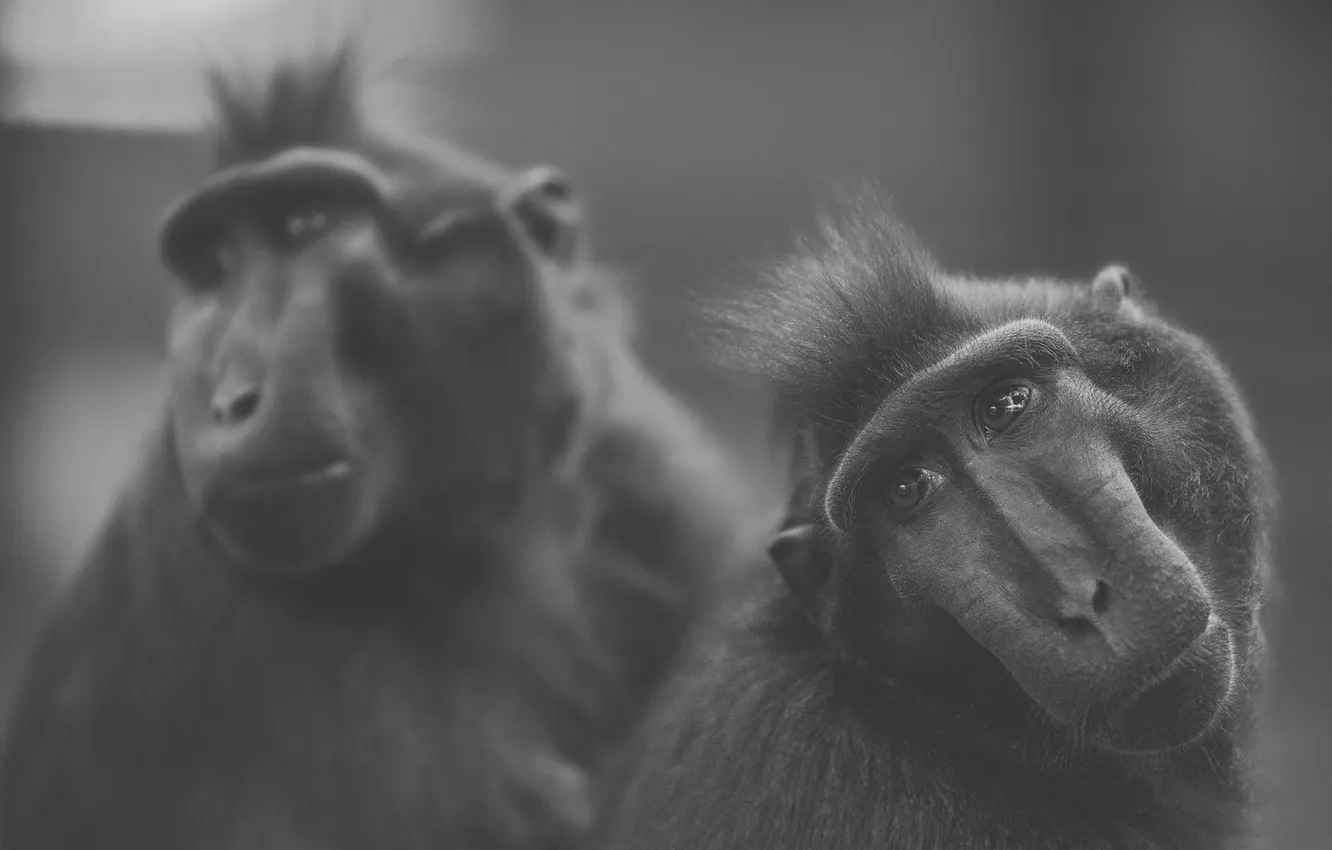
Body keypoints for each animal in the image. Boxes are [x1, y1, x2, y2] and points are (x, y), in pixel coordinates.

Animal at [0, 46, 756, 850]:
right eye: (214, 266)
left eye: (307, 223)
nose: (231, 400)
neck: (467, 543)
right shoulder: (210, 585)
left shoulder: (650, 480)